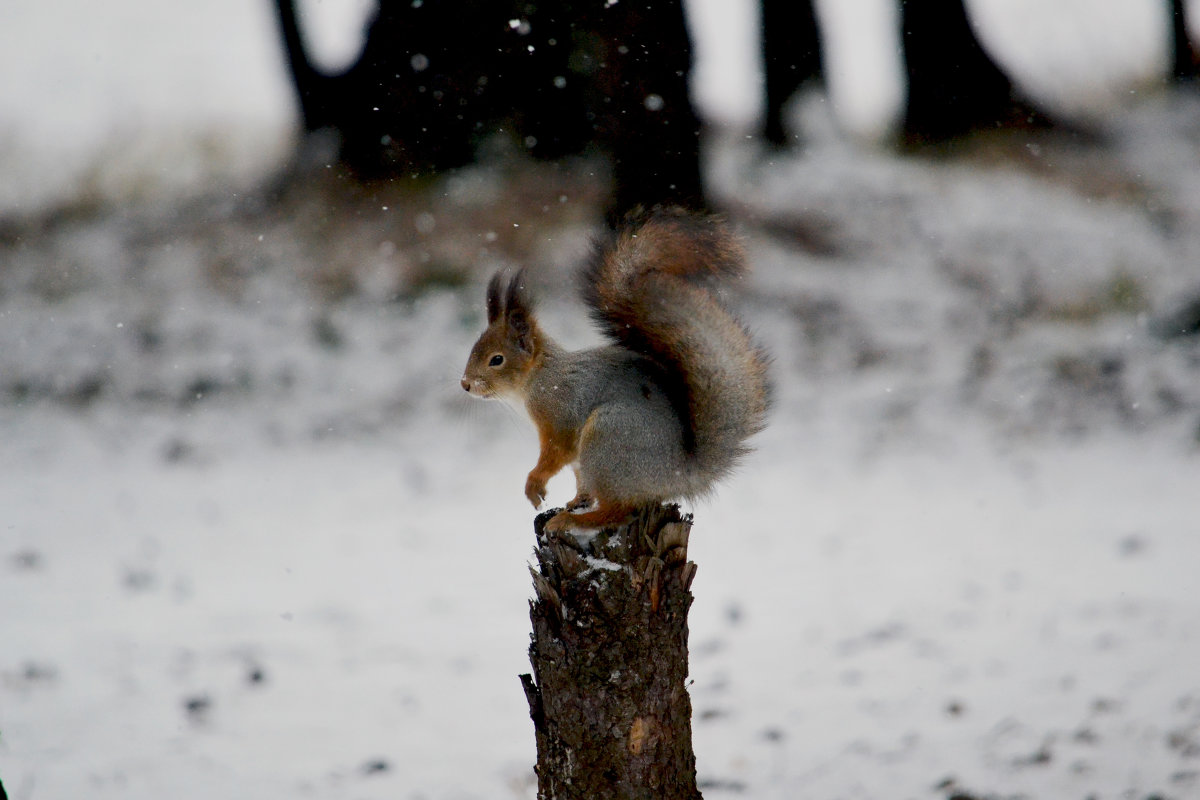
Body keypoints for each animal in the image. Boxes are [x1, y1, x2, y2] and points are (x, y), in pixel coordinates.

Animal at [458, 208, 768, 532]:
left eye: (496, 359)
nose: (465, 383)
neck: (538, 377)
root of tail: (678, 474)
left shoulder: (559, 415)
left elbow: (556, 453)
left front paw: (534, 484)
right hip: (592, 459)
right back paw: (575, 505)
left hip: (606, 440)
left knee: (617, 510)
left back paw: (573, 519)